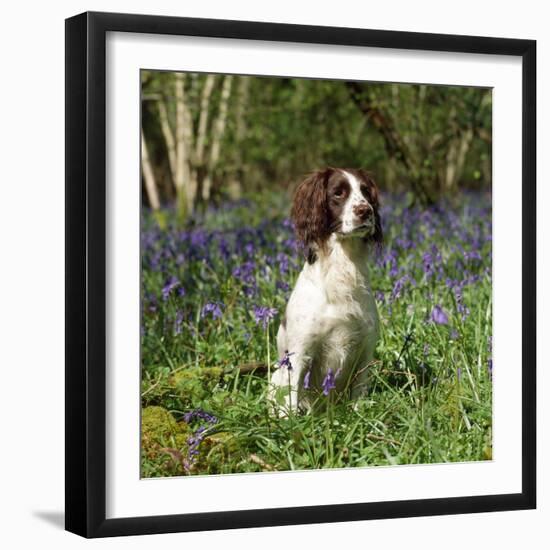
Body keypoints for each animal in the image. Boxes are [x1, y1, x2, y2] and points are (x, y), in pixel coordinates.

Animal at [270, 168, 384, 418]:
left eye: (365, 191)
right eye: (338, 193)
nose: (365, 210)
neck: (342, 268)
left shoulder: (365, 350)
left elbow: (359, 396)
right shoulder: (300, 354)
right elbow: (291, 401)